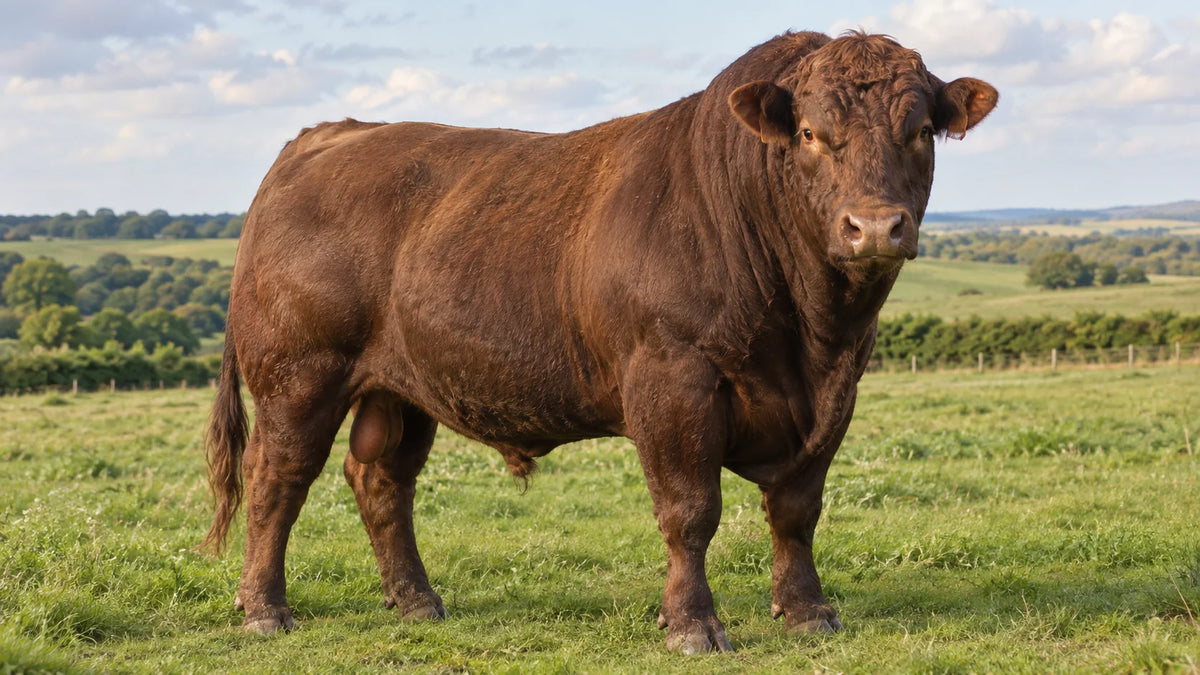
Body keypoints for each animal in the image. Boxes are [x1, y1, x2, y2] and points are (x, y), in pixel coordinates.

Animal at [204, 30, 996, 653]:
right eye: (808, 133)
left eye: (920, 131)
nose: (875, 226)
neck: (810, 331)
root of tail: (327, 134)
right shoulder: (672, 379)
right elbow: (689, 509)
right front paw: (692, 625)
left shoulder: (836, 393)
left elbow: (797, 509)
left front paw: (808, 612)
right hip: (299, 375)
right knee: (277, 479)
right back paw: (265, 609)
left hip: (401, 389)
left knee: (379, 481)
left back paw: (418, 602)